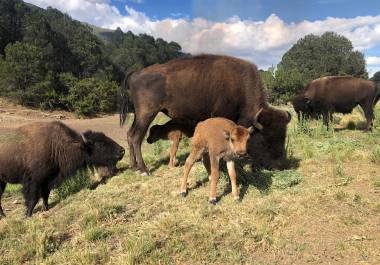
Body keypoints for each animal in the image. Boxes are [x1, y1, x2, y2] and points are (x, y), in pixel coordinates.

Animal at [120, 54, 292, 174]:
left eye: (283, 137)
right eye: (264, 140)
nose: (278, 166)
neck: (239, 87)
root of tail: (136, 73)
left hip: (139, 115)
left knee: (129, 134)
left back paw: (133, 167)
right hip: (147, 114)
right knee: (136, 137)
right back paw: (144, 170)